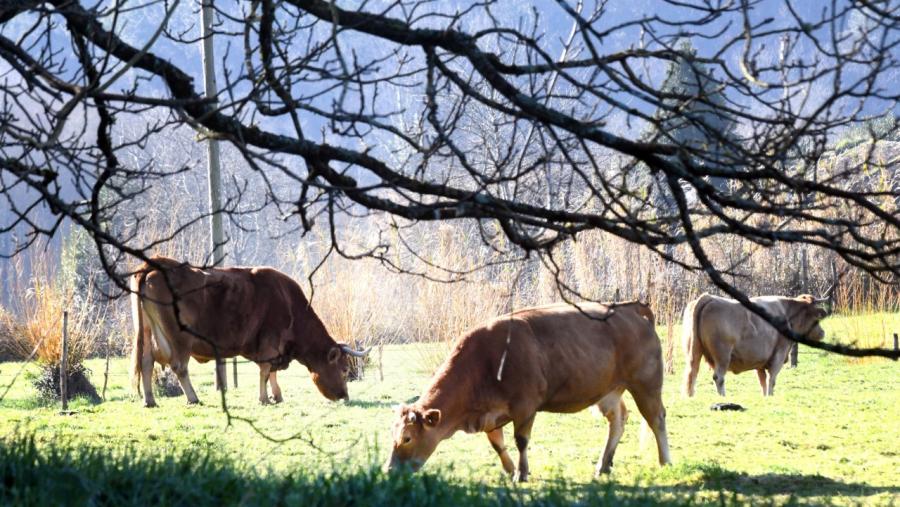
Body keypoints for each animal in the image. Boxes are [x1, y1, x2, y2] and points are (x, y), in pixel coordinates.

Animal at [130, 255, 370, 407]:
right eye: (344, 370)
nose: (345, 396)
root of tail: (156, 263)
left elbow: (272, 372)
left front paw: (276, 396)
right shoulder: (270, 343)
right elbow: (265, 370)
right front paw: (264, 398)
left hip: (148, 333)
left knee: (146, 363)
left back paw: (149, 401)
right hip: (179, 339)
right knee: (179, 366)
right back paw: (193, 398)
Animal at [383, 301, 671, 481]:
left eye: (407, 438)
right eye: (393, 436)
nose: (388, 470)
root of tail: (630, 308)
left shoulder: (525, 406)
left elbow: (520, 440)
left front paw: (521, 473)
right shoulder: (490, 413)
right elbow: (497, 444)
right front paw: (510, 470)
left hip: (646, 384)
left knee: (656, 418)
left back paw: (665, 461)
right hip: (608, 390)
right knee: (619, 419)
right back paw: (603, 464)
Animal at [682, 293, 829, 398]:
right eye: (816, 318)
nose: (822, 333)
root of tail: (707, 297)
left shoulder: (760, 362)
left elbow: (762, 380)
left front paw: (764, 396)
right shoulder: (779, 354)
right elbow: (771, 379)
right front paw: (770, 396)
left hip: (694, 353)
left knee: (692, 373)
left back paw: (691, 396)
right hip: (723, 356)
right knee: (718, 377)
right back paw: (723, 397)